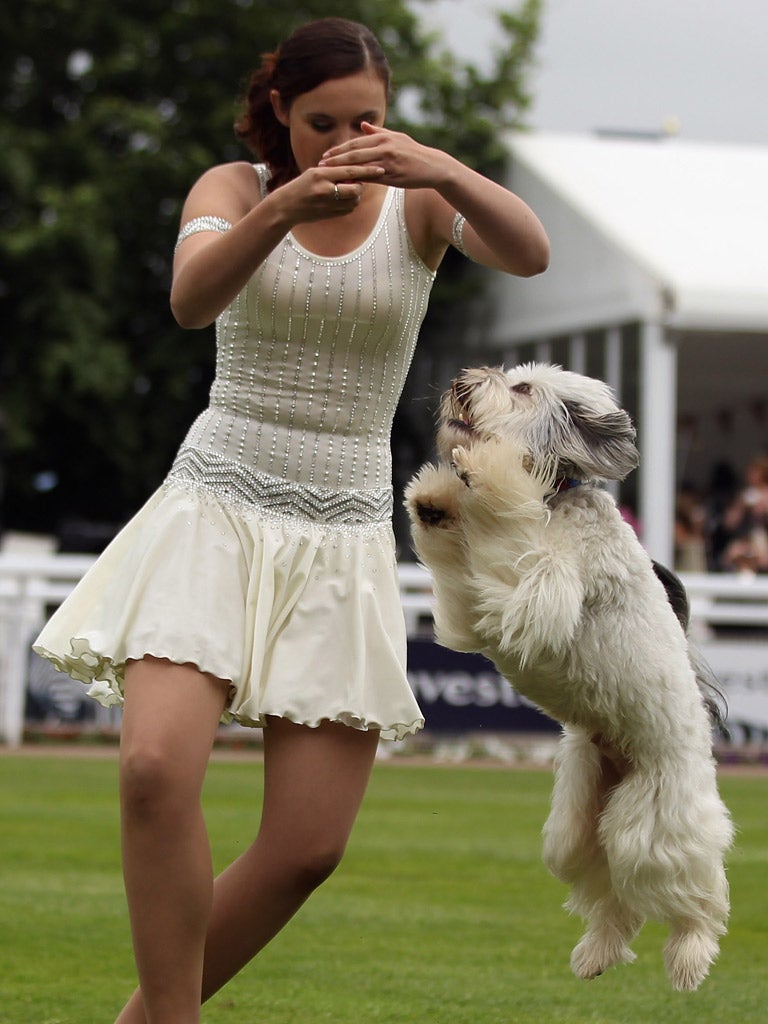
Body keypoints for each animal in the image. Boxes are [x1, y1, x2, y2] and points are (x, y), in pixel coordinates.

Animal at [403, 362, 733, 991]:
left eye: (522, 390)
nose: (460, 381)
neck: (555, 500)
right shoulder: (473, 613)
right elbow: (467, 564)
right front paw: (434, 498)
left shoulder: (546, 586)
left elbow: (512, 529)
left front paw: (488, 471)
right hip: (578, 819)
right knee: (612, 894)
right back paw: (596, 954)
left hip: (653, 823)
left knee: (694, 894)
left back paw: (691, 956)